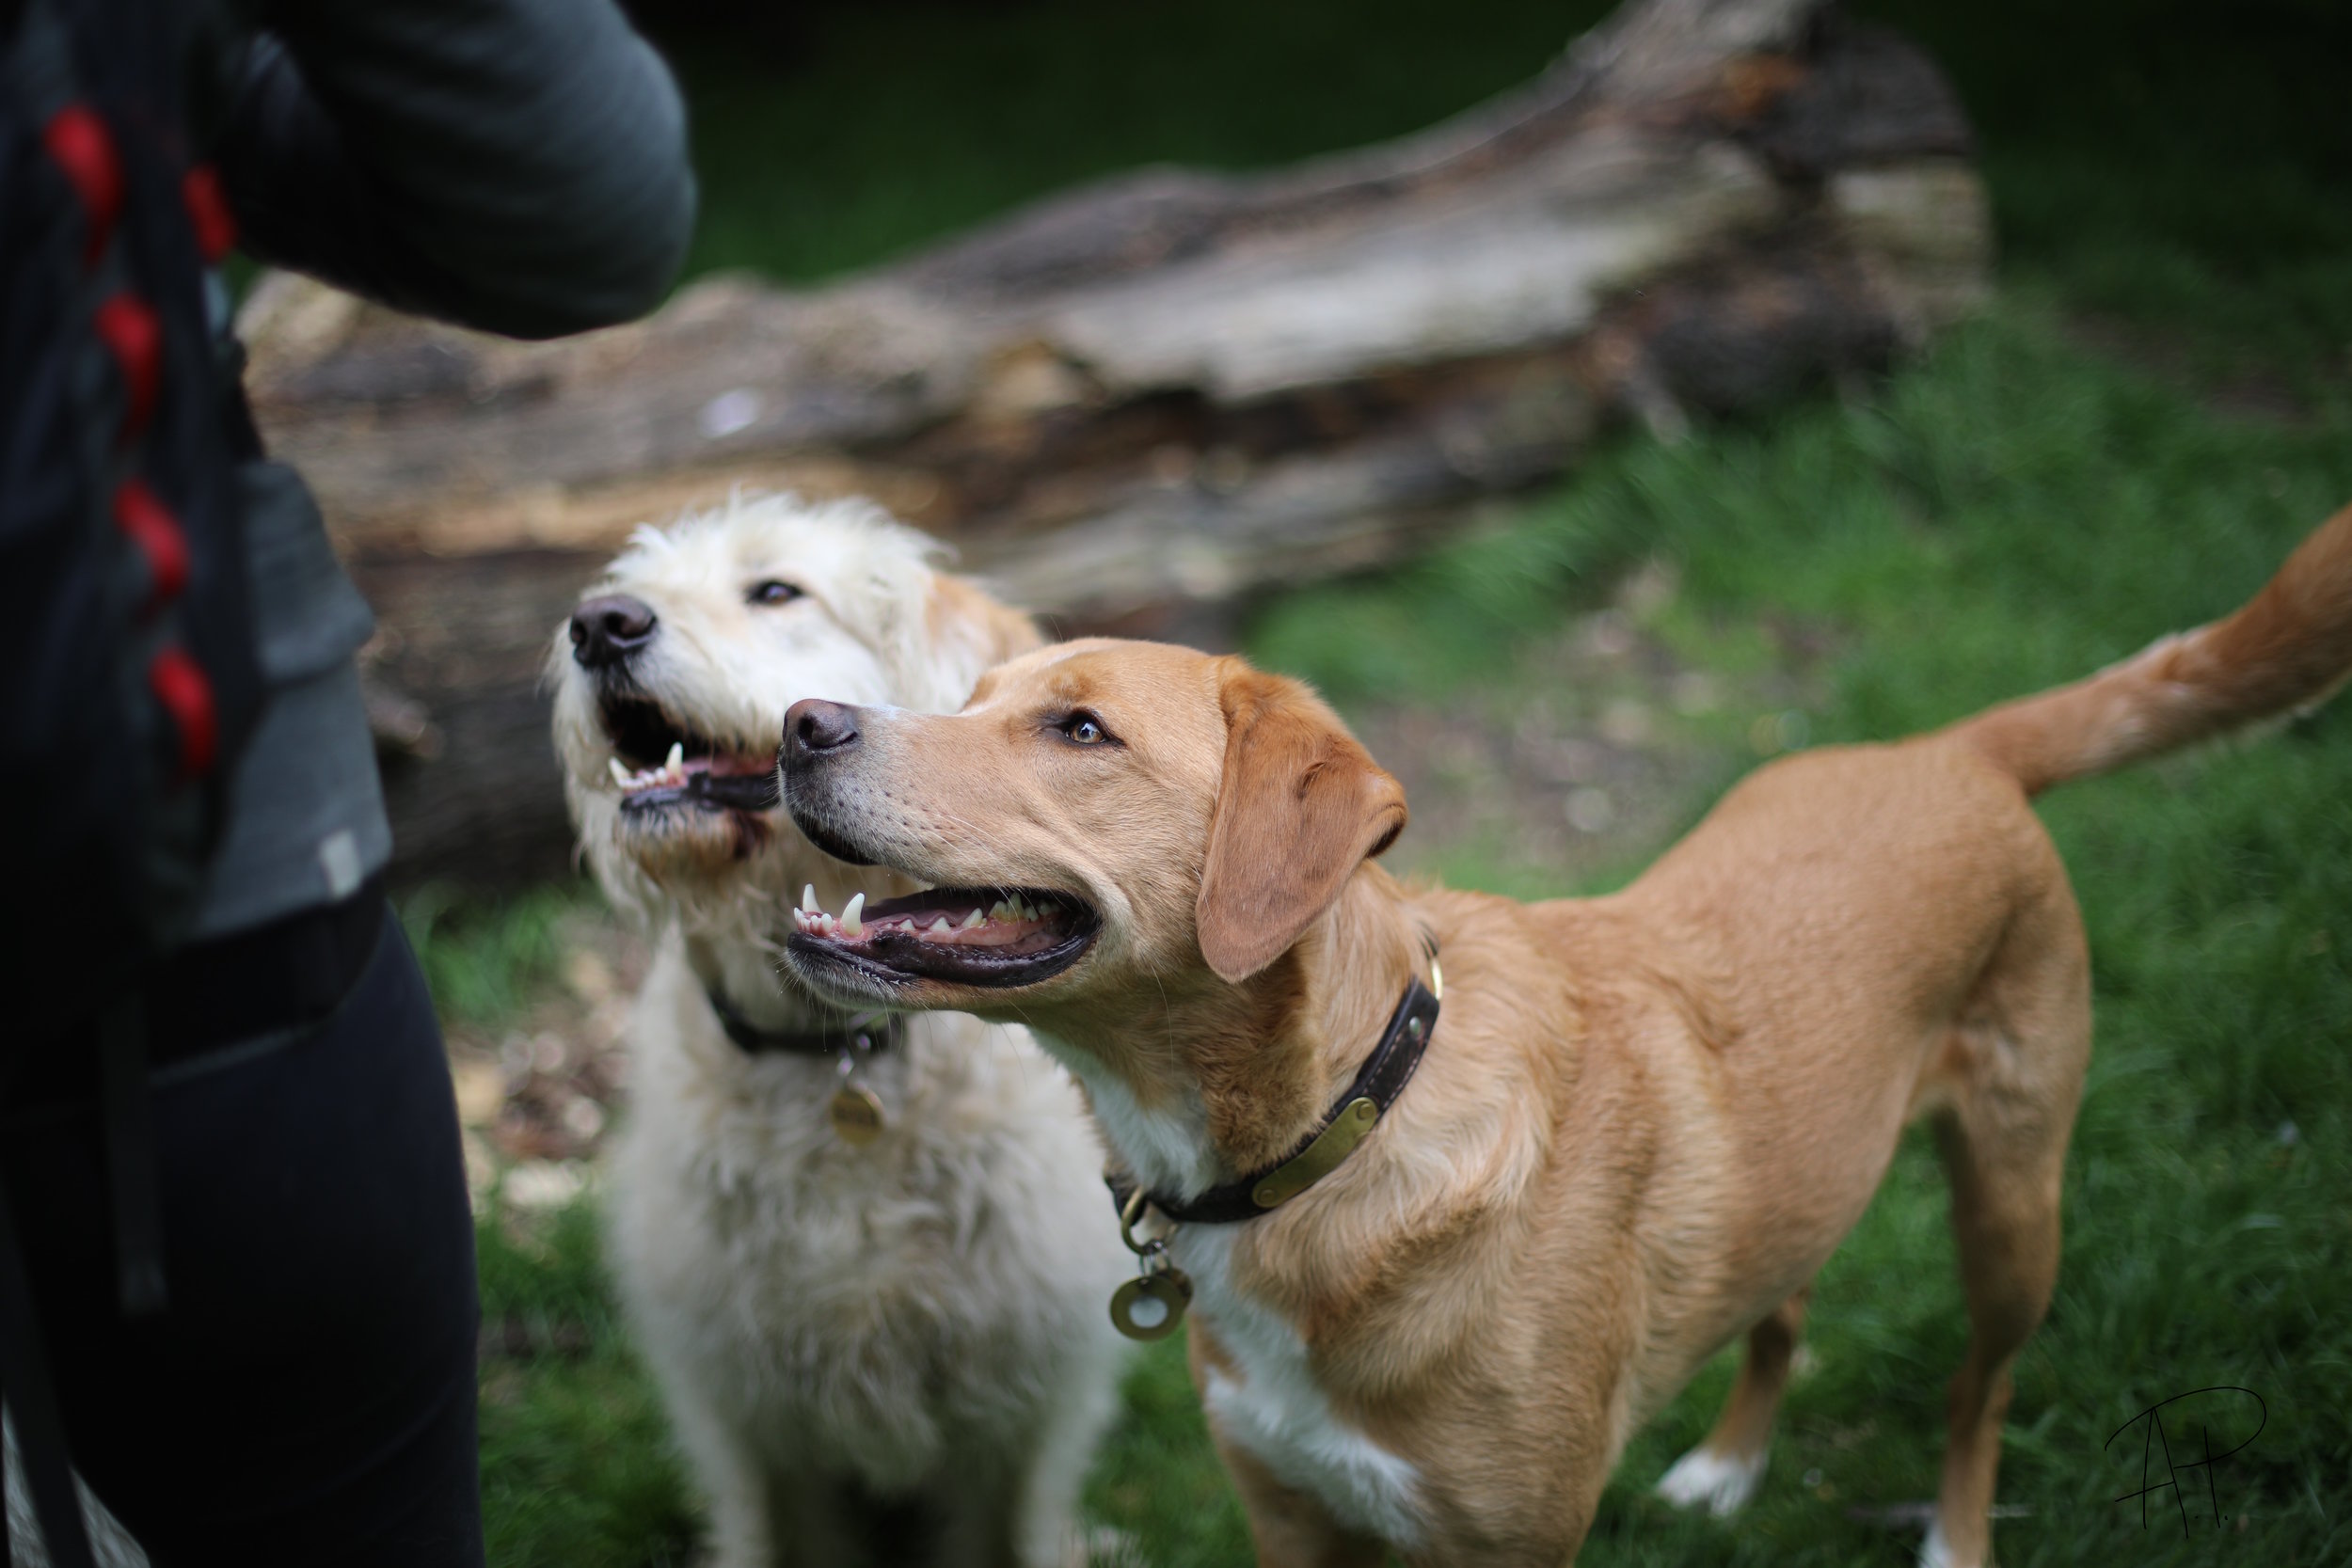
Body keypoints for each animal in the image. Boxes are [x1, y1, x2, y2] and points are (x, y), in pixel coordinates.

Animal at [555, 500, 1134, 1568]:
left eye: (777, 590)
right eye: (624, 587)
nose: (598, 625)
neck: (840, 1057)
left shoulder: (1030, 1410)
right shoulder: (746, 1422)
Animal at [776, 505, 2352, 1568]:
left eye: (1082, 729)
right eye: (969, 698)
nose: (799, 722)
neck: (1336, 1132)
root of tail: (1951, 749)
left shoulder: (1511, 1537)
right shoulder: (1288, 1511)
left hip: (2017, 1200)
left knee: (1983, 1385)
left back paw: (1954, 1536)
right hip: (1814, 1164)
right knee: (1786, 1296)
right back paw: (1727, 1466)